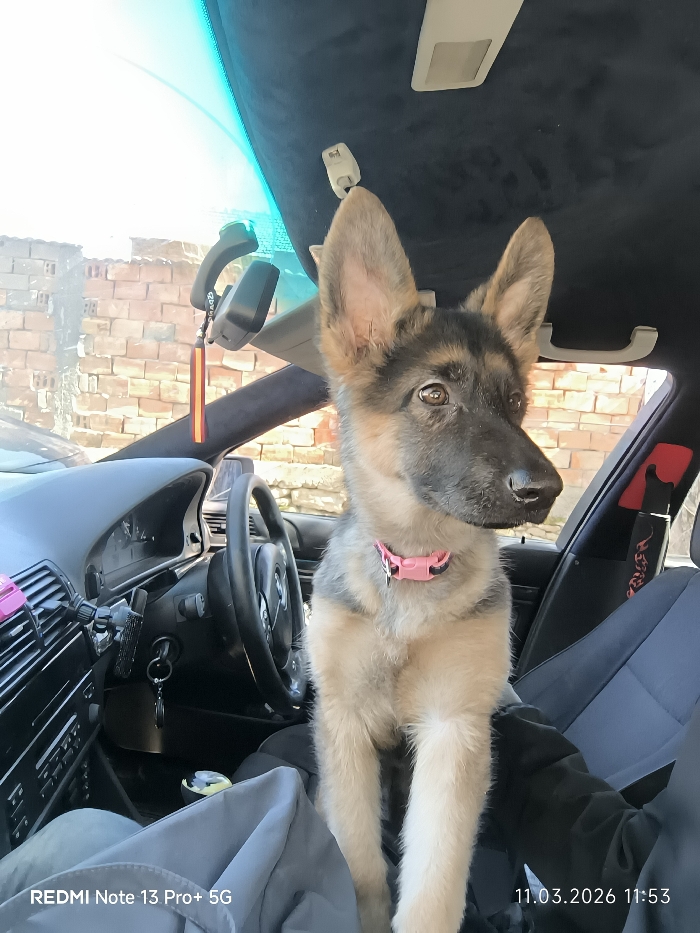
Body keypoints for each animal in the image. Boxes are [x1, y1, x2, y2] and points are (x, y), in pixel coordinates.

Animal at [306, 187, 562, 933]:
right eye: (433, 395)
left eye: (516, 402)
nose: (546, 490)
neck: (414, 567)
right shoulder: (344, 725)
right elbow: (359, 862)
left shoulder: (455, 733)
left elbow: (434, 883)